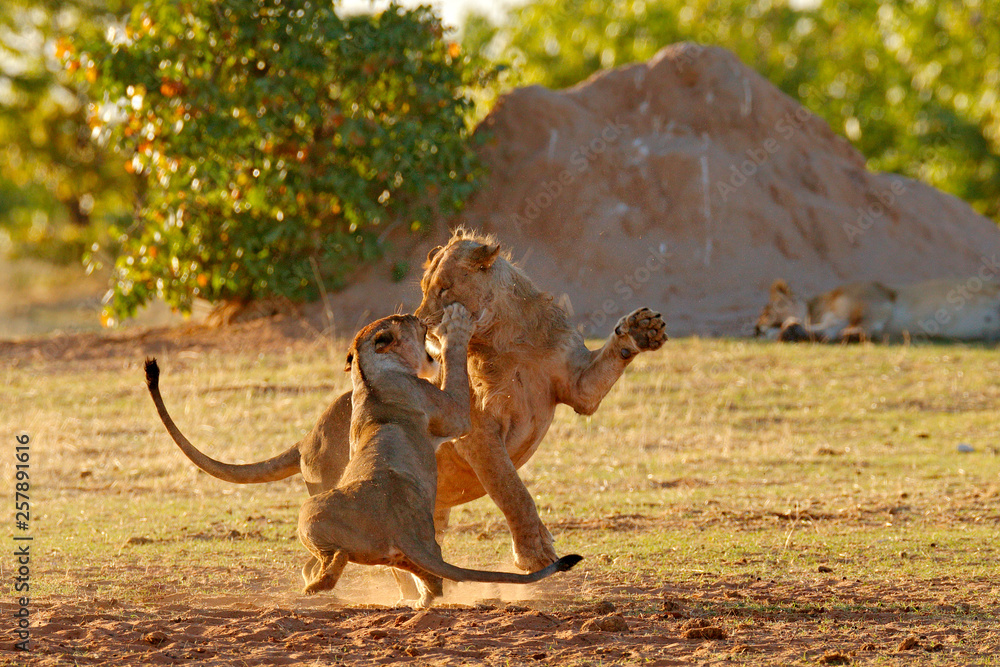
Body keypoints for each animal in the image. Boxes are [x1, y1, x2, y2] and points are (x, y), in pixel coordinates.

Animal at [146, 227, 666, 575]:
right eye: (423, 292)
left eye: (444, 289)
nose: (421, 324)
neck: (508, 336)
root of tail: (306, 439)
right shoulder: (478, 428)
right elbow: (511, 489)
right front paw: (535, 554)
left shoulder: (577, 386)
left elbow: (606, 364)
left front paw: (642, 329)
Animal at [297, 304, 582, 608]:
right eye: (399, 320)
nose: (413, 315)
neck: (367, 376)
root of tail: (398, 526)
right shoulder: (451, 412)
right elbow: (454, 366)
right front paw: (455, 327)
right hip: (309, 510)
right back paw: (319, 583)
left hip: (388, 553)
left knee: (423, 578)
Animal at [755, 278, 1000, 343]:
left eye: (766, 312)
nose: (756, 329)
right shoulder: (831, 322)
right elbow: (822, 332)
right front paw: (789, 332)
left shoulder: (876, 299)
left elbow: (864, 323)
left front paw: (853, 334)